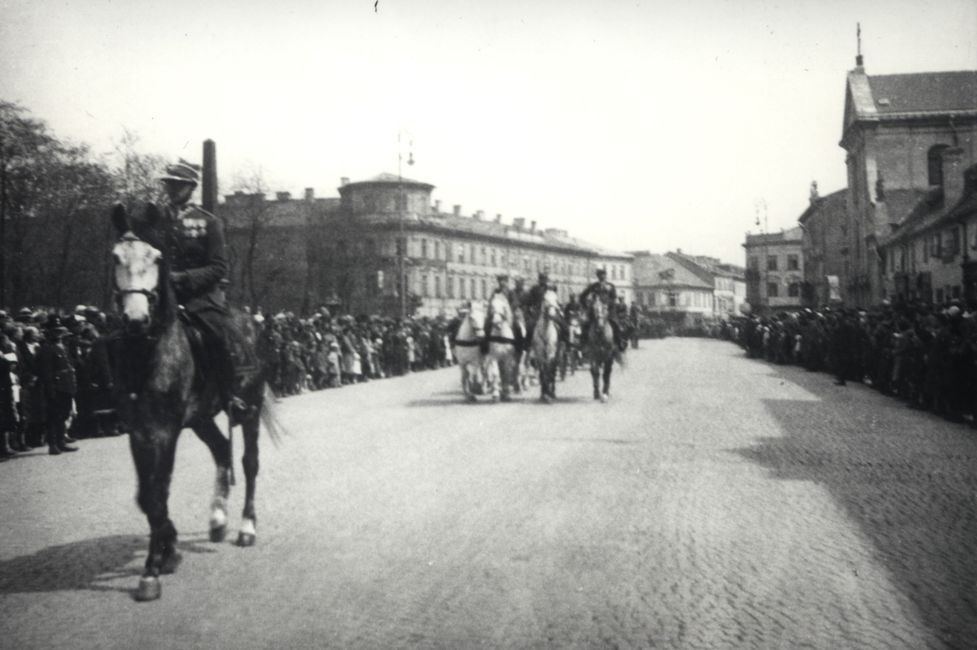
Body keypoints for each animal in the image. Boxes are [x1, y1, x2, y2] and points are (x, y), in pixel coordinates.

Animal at [111, 205, 280, 600]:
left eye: (157, 257)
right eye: (116, 257)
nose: (135, 318)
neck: (149, 351)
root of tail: (251, 322)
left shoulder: (165, 430)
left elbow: (158, 491)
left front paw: (152, 570)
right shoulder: (139, 430)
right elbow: (147, 495)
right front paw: (168, 550)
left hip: (248, 408)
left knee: (249, 462)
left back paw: (246, 527)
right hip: (201, 418)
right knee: (221, 450)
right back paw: (217, 519)